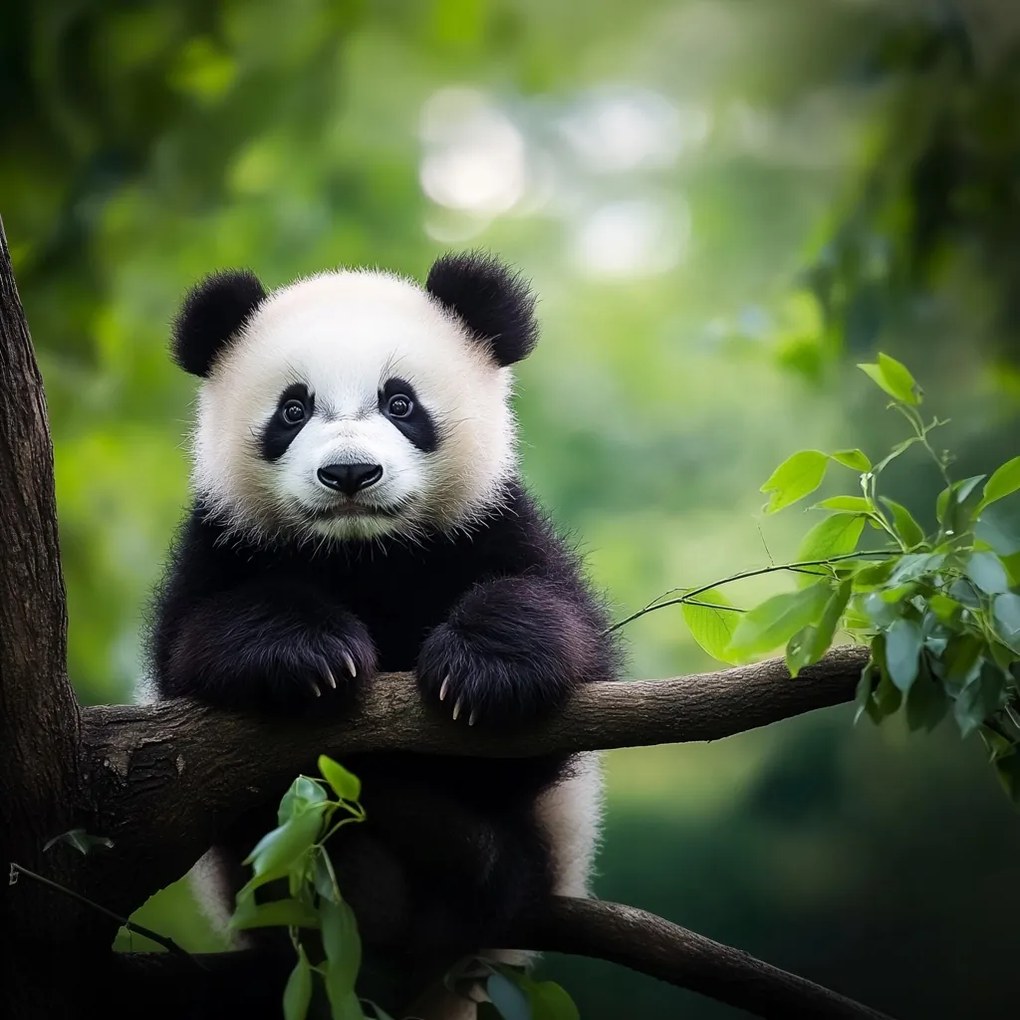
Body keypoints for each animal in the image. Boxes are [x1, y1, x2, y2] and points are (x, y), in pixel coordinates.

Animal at [147, 251, 618, 1006]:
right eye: (293, 409)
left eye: (401, 404)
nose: (349, 473)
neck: (363, 553)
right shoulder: (222, 540)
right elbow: (192, 652)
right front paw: (310, 657)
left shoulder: (490, 522)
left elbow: (558, 631)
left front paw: (481, 672)